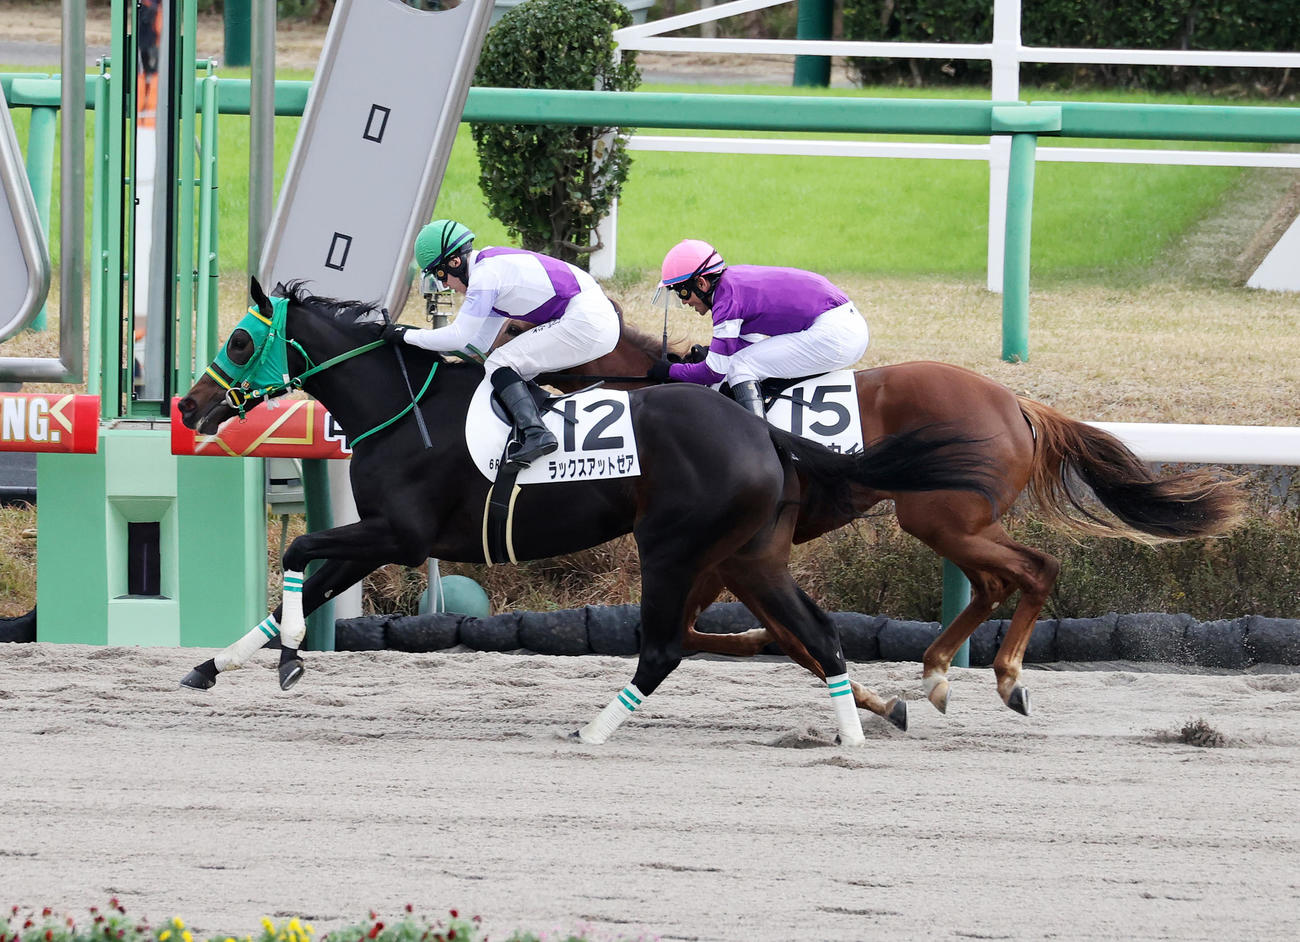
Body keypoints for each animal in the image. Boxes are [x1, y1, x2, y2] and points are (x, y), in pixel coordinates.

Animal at [175, 279, 1000, 745]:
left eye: (240, 340)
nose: (189, 406)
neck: (402, 411)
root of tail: (758, 426)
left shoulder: (398, 536)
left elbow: (297, 552)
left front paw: (288, 655)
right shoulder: (381, 539)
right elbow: (304, 583)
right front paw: (215, 666)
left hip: (670, 549)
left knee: (664, 647)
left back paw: (596, 729)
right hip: (752, 556)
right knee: (820, 636)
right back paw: (854, 734)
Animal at [527, 319, 1245, 718]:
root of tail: (1018, 403)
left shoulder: (727, 554)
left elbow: (775, 637)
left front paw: (871, 702)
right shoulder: (734, 558)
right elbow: (762, 636)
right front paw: (868, 696)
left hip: (942, 518)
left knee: (1034, 569)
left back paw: (1006, 678)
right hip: (955, 522)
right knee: (993, 583)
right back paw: (938, 672)